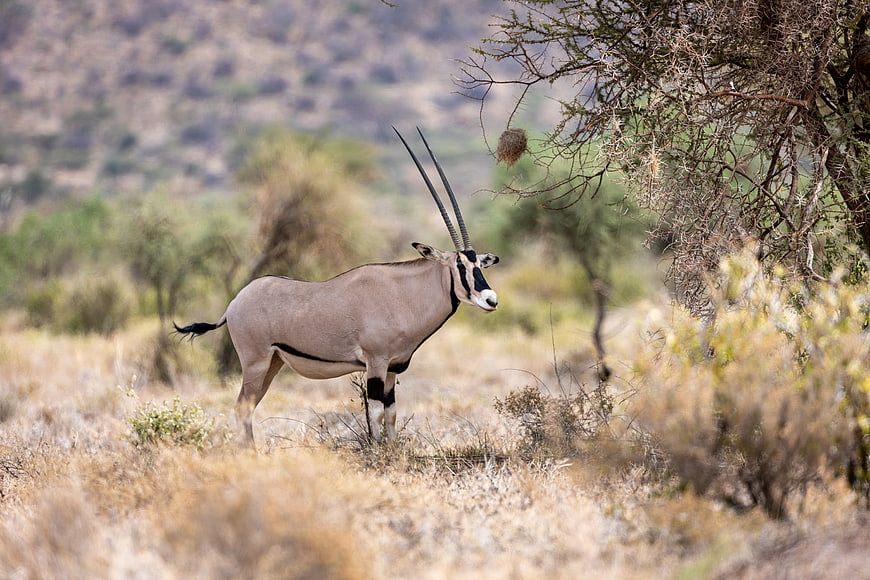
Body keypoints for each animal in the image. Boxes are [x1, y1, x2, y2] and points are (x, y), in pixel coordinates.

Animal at [174, 128, 499, 446]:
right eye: (459, 266)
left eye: (479, 265)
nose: (491, 300)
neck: (403, 295)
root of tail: (234, 303)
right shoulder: (376, 364)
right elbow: (376, 414)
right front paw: (378, 454)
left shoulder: (393, 368)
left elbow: (391, 415)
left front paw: (394, 454)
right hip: (255, 362)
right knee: (242, 407)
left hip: (273, 363)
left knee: (247, 407)